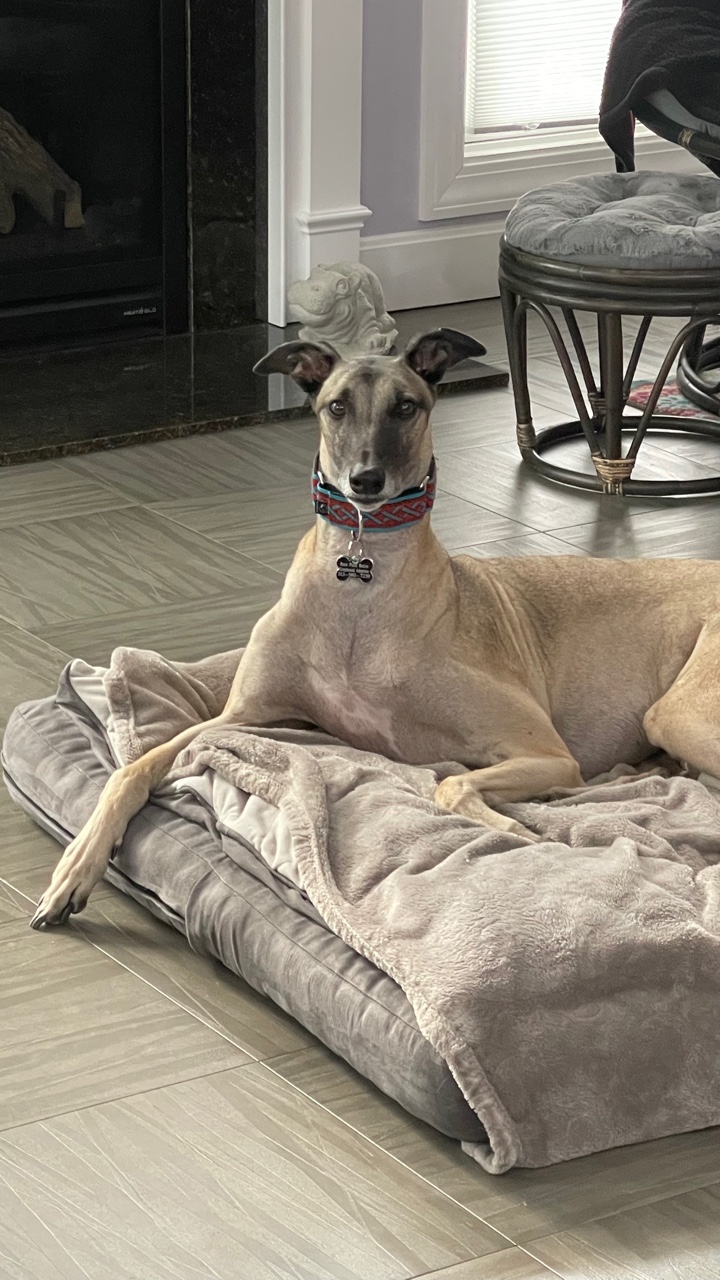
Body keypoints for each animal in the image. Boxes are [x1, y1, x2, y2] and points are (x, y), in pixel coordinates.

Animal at [31, 326, 720, 927]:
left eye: (406, 407)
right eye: (336, 406)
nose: (365, 481)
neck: (360, 587)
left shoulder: (546, 753)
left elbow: (451, 786)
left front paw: (513, 826)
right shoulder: (241, 716)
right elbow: (133, 769)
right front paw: (74, 869)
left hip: (676, 713)